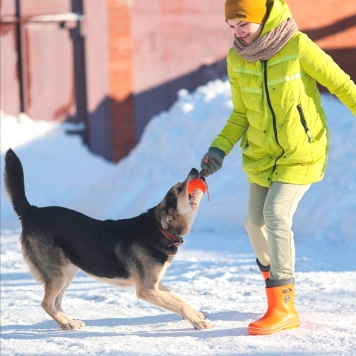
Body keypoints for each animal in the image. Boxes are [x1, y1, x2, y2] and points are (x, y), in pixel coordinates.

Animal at [3, 149, 211, 330]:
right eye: (180, 189)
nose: (195, 170)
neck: (158, 229)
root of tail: (31, 211)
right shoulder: (147, 289)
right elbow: (179, 304)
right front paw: (198, 322)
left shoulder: (156, 284)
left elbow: (179, 299)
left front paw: (196, 315)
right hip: (58, 274)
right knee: (47, 303)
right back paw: (65, 324)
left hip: (67, 272)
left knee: (56, 303)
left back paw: (69, 321)